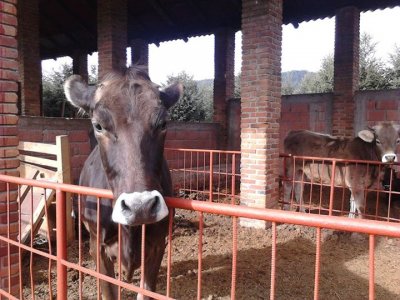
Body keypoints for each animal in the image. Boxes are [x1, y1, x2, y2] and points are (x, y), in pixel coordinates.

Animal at [64, 67, 183, 298]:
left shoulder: (158, 244)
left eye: (163, 123)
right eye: (98, 125)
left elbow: (146, 290)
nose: (141, 207)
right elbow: (109, 290)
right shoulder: (97, 245)